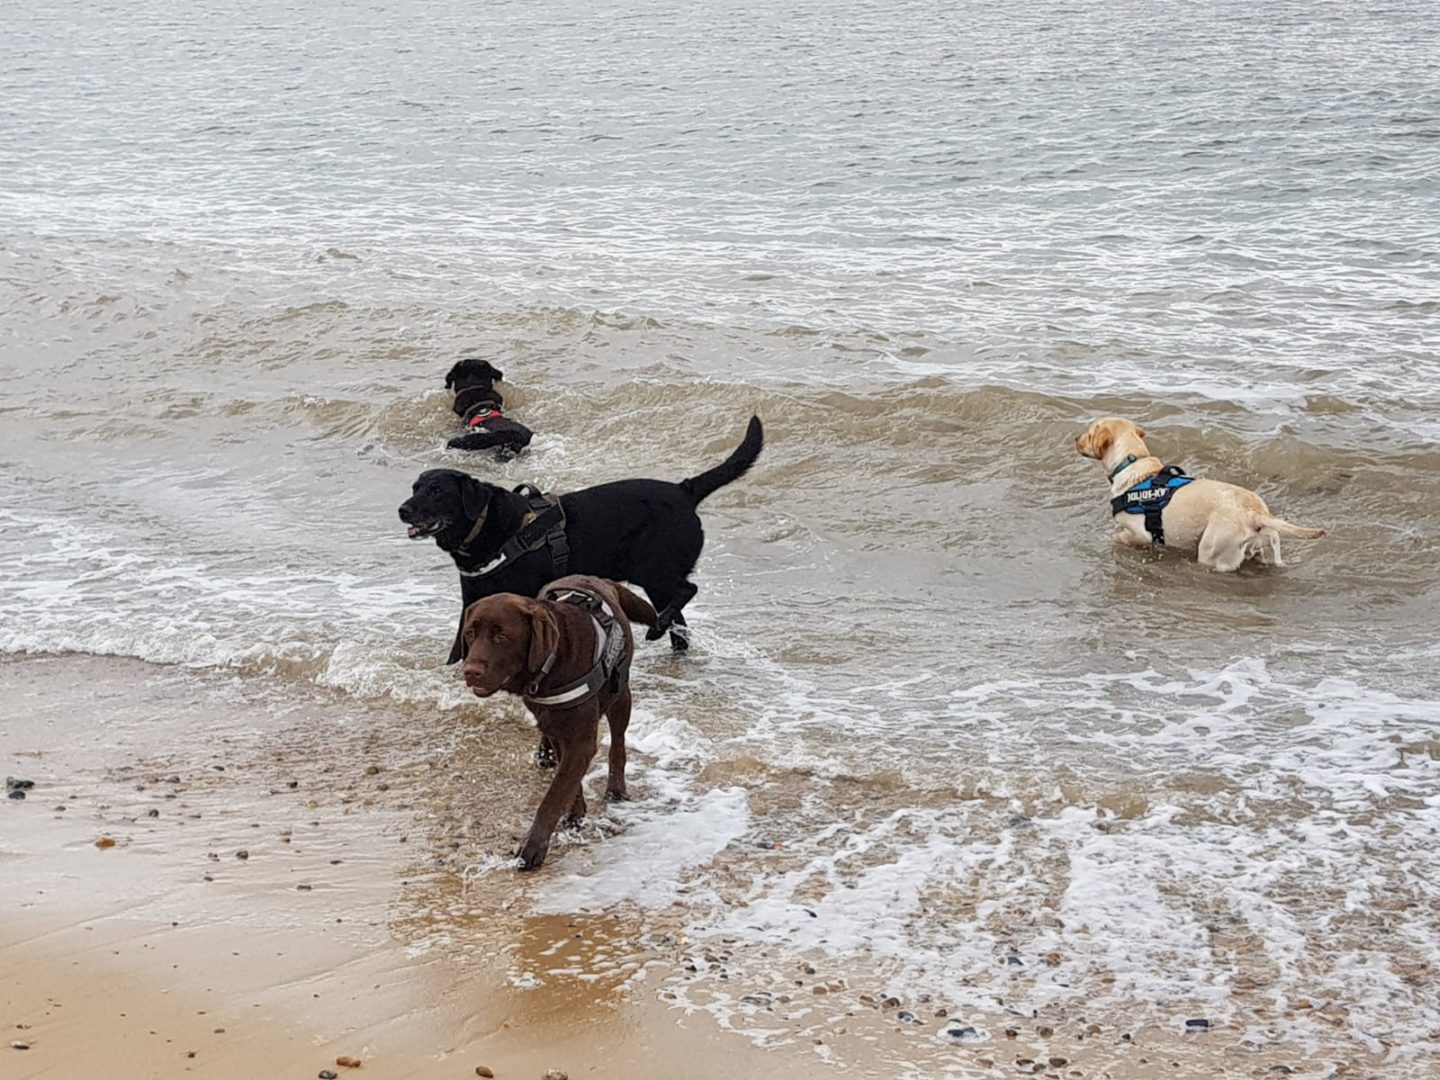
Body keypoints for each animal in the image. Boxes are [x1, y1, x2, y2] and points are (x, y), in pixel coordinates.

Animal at [400, 417, 766, 665]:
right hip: (655, 576)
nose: (403, 510)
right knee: (680, 620)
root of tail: (684, 490)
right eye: (415, 487)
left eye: (437, 491)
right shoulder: (472, 601)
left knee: (687, 590)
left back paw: (656, 628)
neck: (491, 526)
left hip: (651, 566)